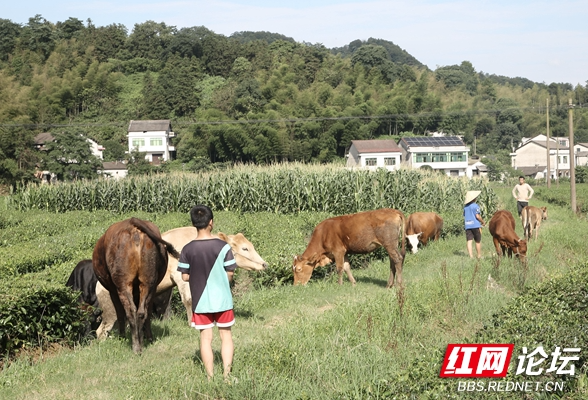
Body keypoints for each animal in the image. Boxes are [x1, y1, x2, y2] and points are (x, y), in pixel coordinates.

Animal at [92, 217, 178, 352]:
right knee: (143, 312)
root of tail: (133, 223)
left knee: (130, 311)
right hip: (148, 282)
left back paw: (135, 347)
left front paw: (122, 337)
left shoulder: (113, 290)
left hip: (123, 284)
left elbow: (120, 314)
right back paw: (144, 341)